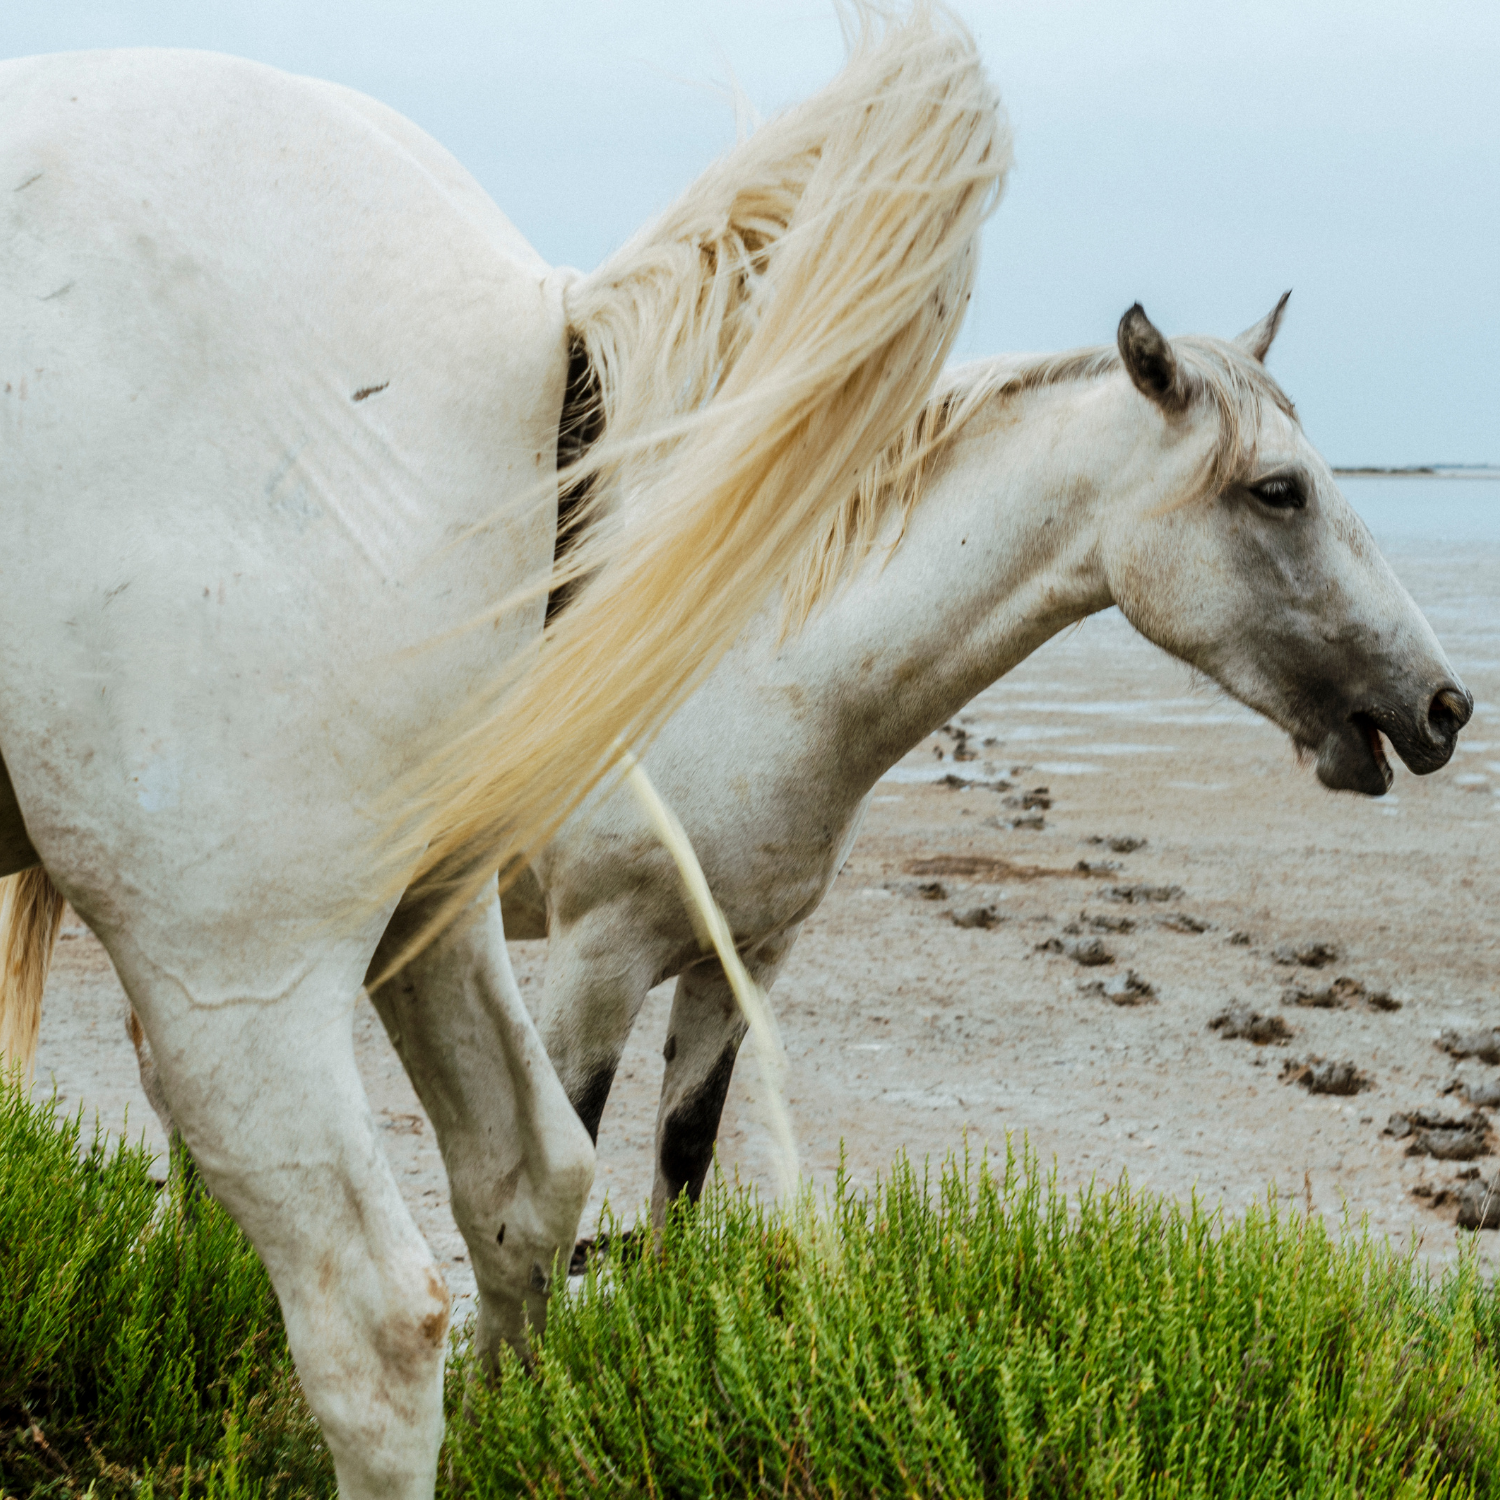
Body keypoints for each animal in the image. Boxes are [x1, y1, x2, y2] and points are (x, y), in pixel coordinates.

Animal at [504, 295, 1473, 1224]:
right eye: (1279, 490)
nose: (1446, 706)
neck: (738, 674)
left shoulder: (741, 961)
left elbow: (682, 1169)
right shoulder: (596, 965)